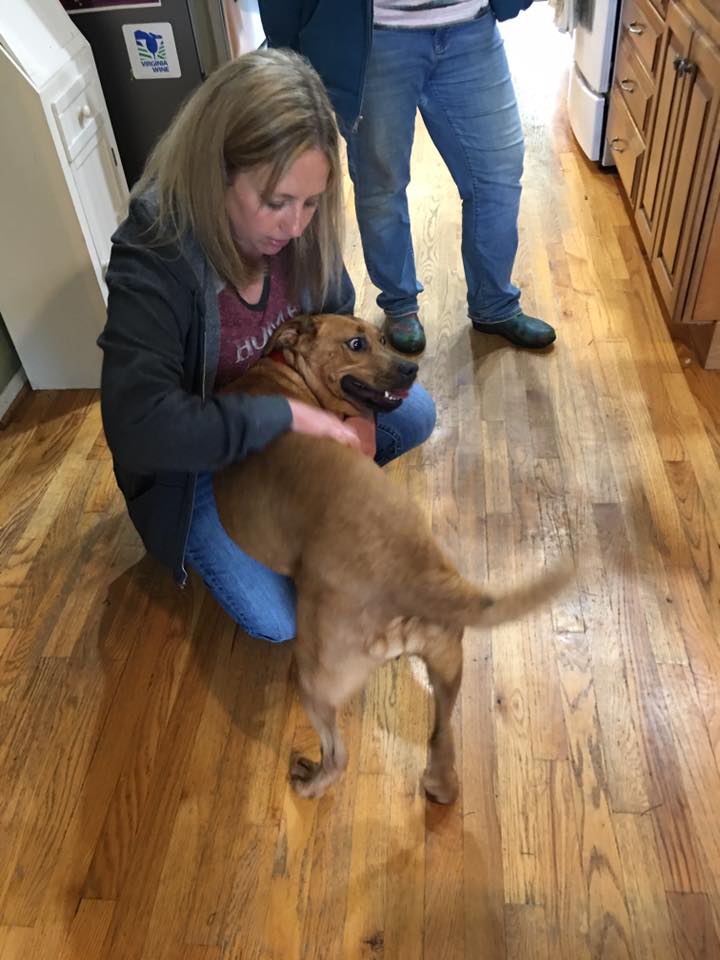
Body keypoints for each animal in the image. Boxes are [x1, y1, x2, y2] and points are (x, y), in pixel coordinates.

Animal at [214, 314, 571, 803]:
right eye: (357, 344)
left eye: (383, 338)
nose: (410, 369)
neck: (287, 374)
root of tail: (415, 579)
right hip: (447, 666)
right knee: (441, 743)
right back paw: (439, 784)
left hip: (318, 681)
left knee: (337, 758)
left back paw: (309, 782)